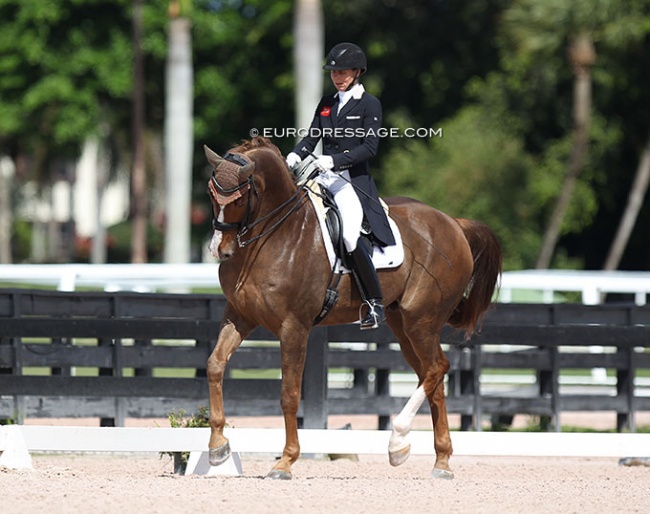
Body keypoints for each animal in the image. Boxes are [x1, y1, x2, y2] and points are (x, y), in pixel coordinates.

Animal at [202, 135, 502, 476]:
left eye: (240, 199)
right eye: (211, 194)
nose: (219, 250)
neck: (276, 235)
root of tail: (454, 223)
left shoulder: (294, 327)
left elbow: (289, 394)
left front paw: (285, 462)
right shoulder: (239, 315)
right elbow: (214, 365)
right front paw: (218, 448)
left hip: (421, 321)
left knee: (437, 368)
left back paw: (397, 439)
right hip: (403, 326)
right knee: (432, 377)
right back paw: (438, 460)